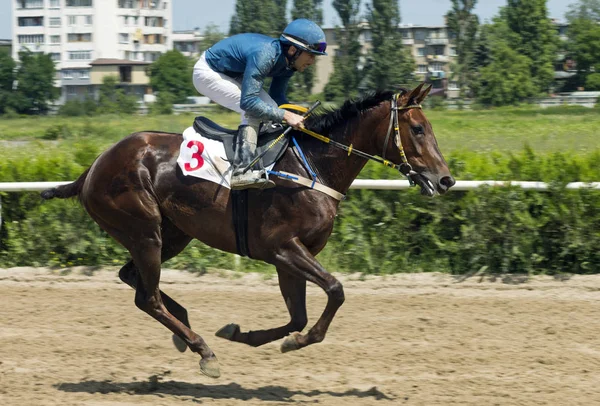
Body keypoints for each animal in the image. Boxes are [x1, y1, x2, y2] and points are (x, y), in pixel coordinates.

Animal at [41, 84, 454, 380]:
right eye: (418, 129)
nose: (445, 180)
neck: (312, 167)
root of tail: (93, 167)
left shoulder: (291, 257)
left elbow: (298, 317)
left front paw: (244, 334)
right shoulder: (282, 247)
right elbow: (335, 291)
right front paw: (293, 342)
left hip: (173, 233)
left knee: (135, 279)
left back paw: (184, 326)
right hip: (145, 232)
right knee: (148, 297)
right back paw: (202, 350)